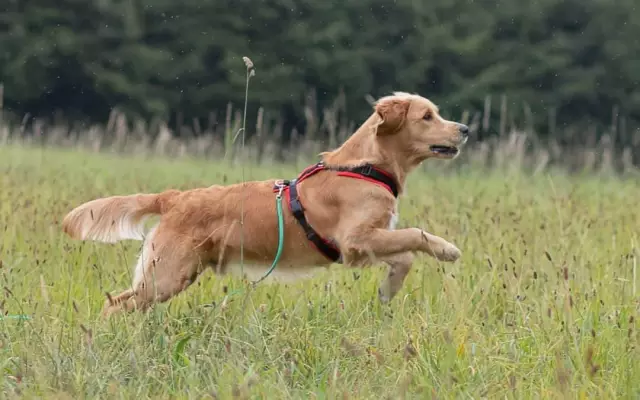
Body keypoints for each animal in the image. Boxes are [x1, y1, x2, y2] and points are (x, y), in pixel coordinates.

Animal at [62, 92, 468, 318]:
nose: (465, 129)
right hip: (166, 277)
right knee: (114, 305)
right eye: (427, 116)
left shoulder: (367, 244)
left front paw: (388, 290)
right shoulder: (356, 239)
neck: (365, 167)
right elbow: (416, 235)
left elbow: (405, 256)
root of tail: (175, 197)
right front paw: (447, 249)